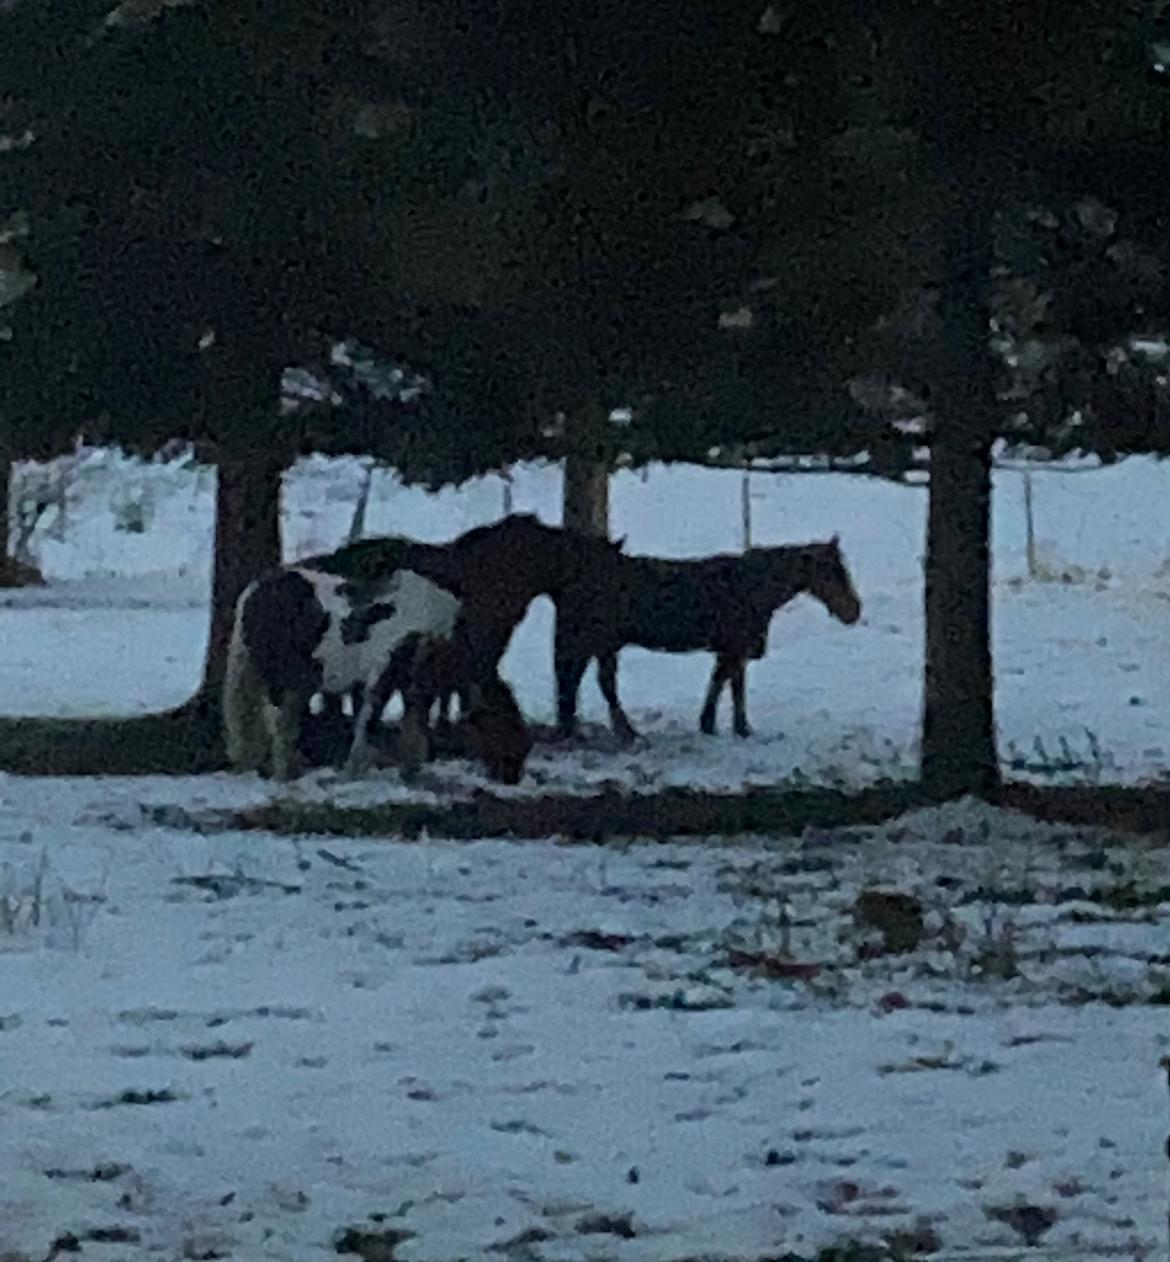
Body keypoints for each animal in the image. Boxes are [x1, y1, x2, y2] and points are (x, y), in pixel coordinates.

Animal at [220, 560, 530, 777]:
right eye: (504, 728)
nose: (512, 776)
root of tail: (254, 591)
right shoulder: (384, 674)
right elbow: (369, 721)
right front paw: (354, 771)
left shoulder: (411, 682)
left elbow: (412, 723)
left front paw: (410, 769)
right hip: (278, 678)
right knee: (276, 722)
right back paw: (284, 773)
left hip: (290, 682)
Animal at [552, 537, 863, 742]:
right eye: (831, 573)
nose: (854, 611)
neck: (750, 588)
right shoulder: (734, 649)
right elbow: (725, 684)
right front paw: (719, 725)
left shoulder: (733, 651)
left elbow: (730, 685)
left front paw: (729, 726)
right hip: (598, 641)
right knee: (592, 681)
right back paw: (618, 731)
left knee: (580, 679)